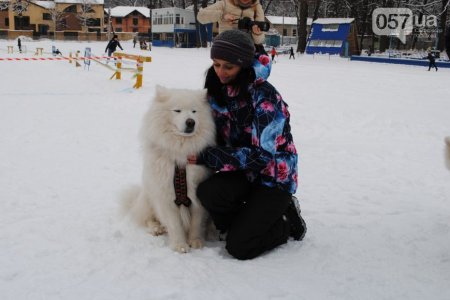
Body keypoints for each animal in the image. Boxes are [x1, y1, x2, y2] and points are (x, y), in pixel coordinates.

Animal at [121, 84, 216, 253]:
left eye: (194, 111)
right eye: (177, 110)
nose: (191, 122)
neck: (181, 157)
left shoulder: (197, 198)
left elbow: (196, 223)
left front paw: (196, 241)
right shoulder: (165, 197)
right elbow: (174, 224)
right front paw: (180, 246)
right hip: (149, 197)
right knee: (147, 218)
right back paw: (157, 228)